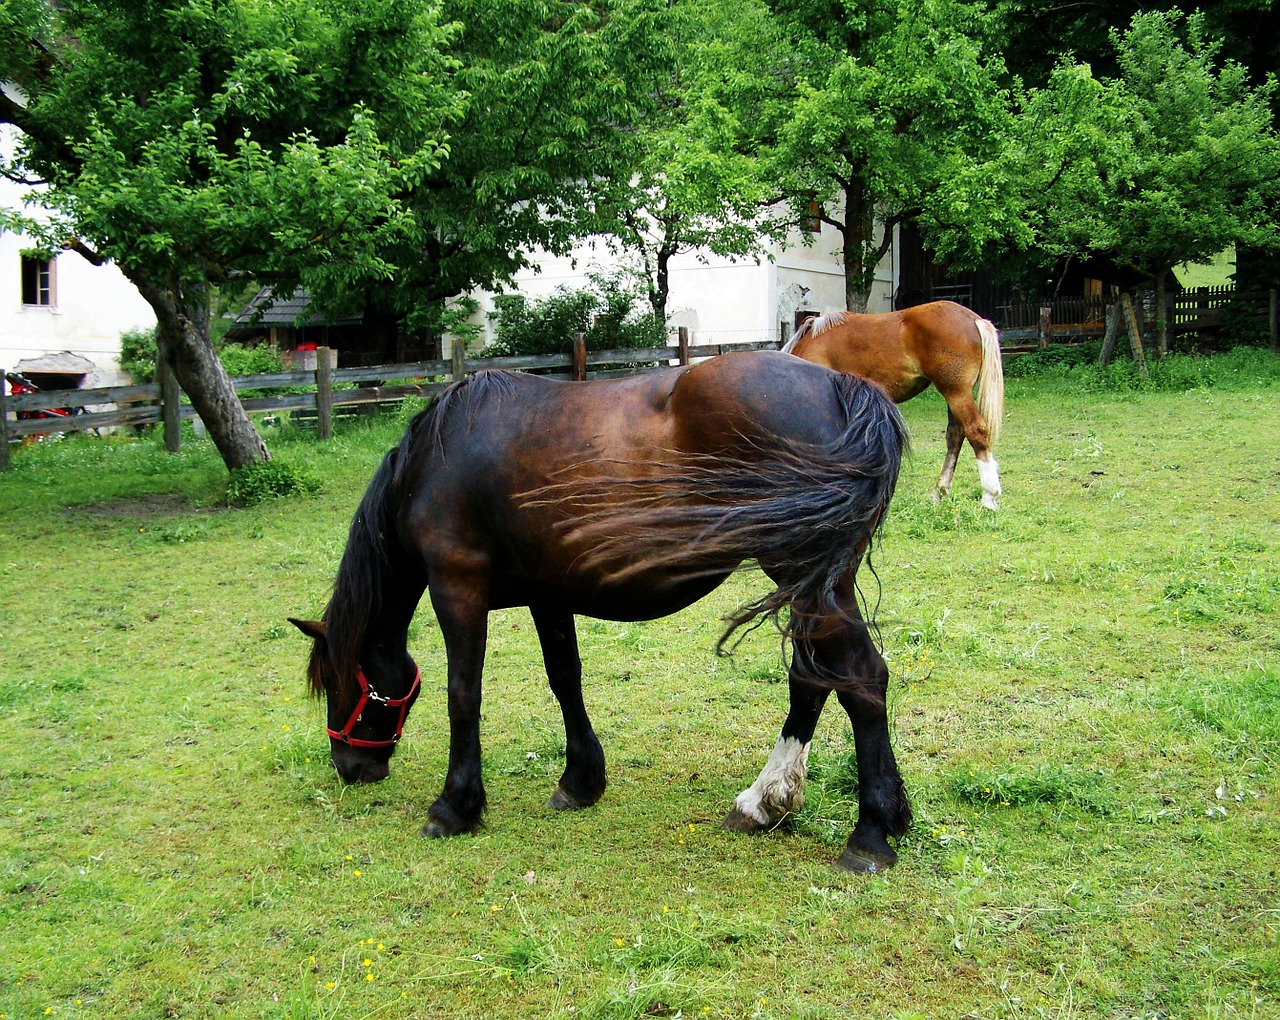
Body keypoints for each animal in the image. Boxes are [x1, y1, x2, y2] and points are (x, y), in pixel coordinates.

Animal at [293, 350, 911, 865]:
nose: (350, 767)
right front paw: (580, 781)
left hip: (801, 575)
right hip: (813, 581)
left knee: (861, 678)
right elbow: (565, 677)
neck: (433, 462)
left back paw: (870, 834)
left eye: (338, 683)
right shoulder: (548, 593)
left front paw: (454, 807)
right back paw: (763, 803)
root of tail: (842, 387)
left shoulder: (456, 587)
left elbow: (462, 695)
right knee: (813, 678)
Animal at [783, 300, 1003, 509]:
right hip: (955, 395)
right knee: (955, 435)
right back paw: (939, 492)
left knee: (975, 431)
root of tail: (974, 320)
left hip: (956, 392)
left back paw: (988, 497)